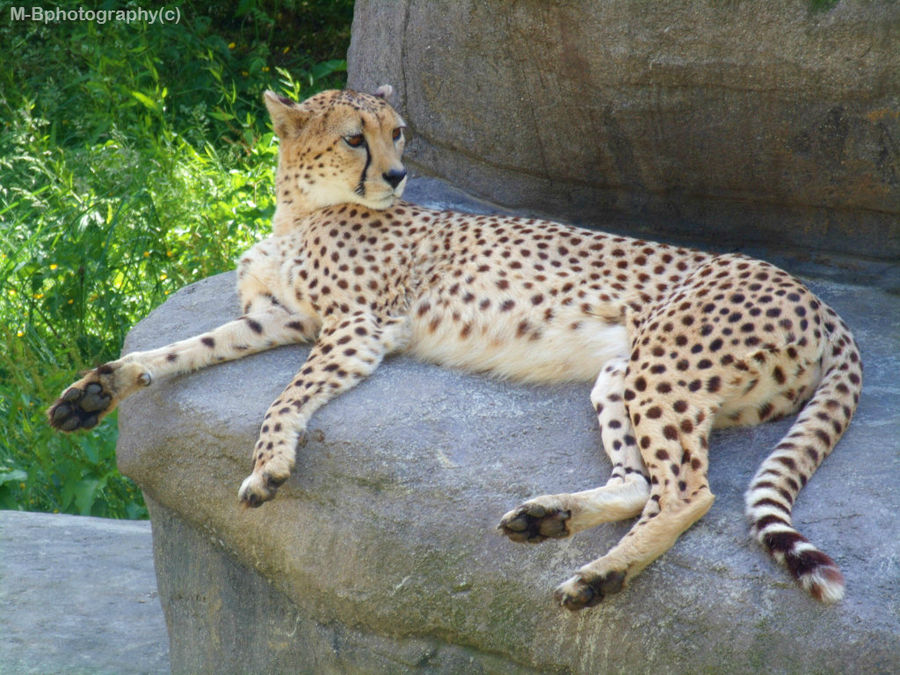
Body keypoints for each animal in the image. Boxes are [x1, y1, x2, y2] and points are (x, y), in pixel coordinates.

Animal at [45, 84, 860, 608]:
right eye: (354, 137)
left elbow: (285, 396)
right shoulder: (278, 319)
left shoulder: (357, 330)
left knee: (690, 491)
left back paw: (598, 577)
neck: (301, 210)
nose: (399, 174)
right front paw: (96, 389)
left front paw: (269, 463)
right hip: (622, 374)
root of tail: (820, 299)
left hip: (663, 368)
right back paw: (551, 522)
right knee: (641, 482)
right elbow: (185, 349)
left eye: (398, 132)